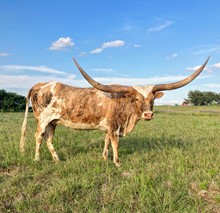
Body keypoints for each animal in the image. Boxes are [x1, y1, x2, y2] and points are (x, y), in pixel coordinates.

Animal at [20, 56, 210, 166]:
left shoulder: (108, 128)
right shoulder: (114, 127)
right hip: (42, 120)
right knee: (38, 136)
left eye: (153, 99)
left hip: (53, 122)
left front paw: (104, 158)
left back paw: (57, 160)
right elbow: (115, 144)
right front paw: (117, 163)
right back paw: (37, 159)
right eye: (136, 99)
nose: (148, 114)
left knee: (48, 139)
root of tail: (41, 84)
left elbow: (105, 142)